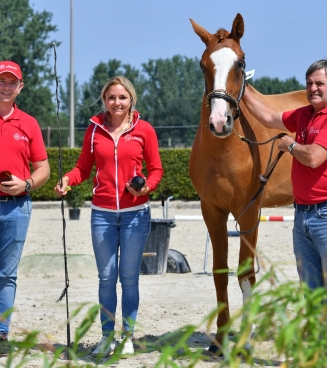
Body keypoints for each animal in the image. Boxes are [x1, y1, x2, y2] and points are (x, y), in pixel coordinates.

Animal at [188, 13, 308, 354]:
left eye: (240, 63)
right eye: (203, 64)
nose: (219, 122)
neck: (227, 150)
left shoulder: (250, 212)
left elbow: (245, 273)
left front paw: (243, 338)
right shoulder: (212, 211)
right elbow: (220, 272)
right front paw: (219, 340)